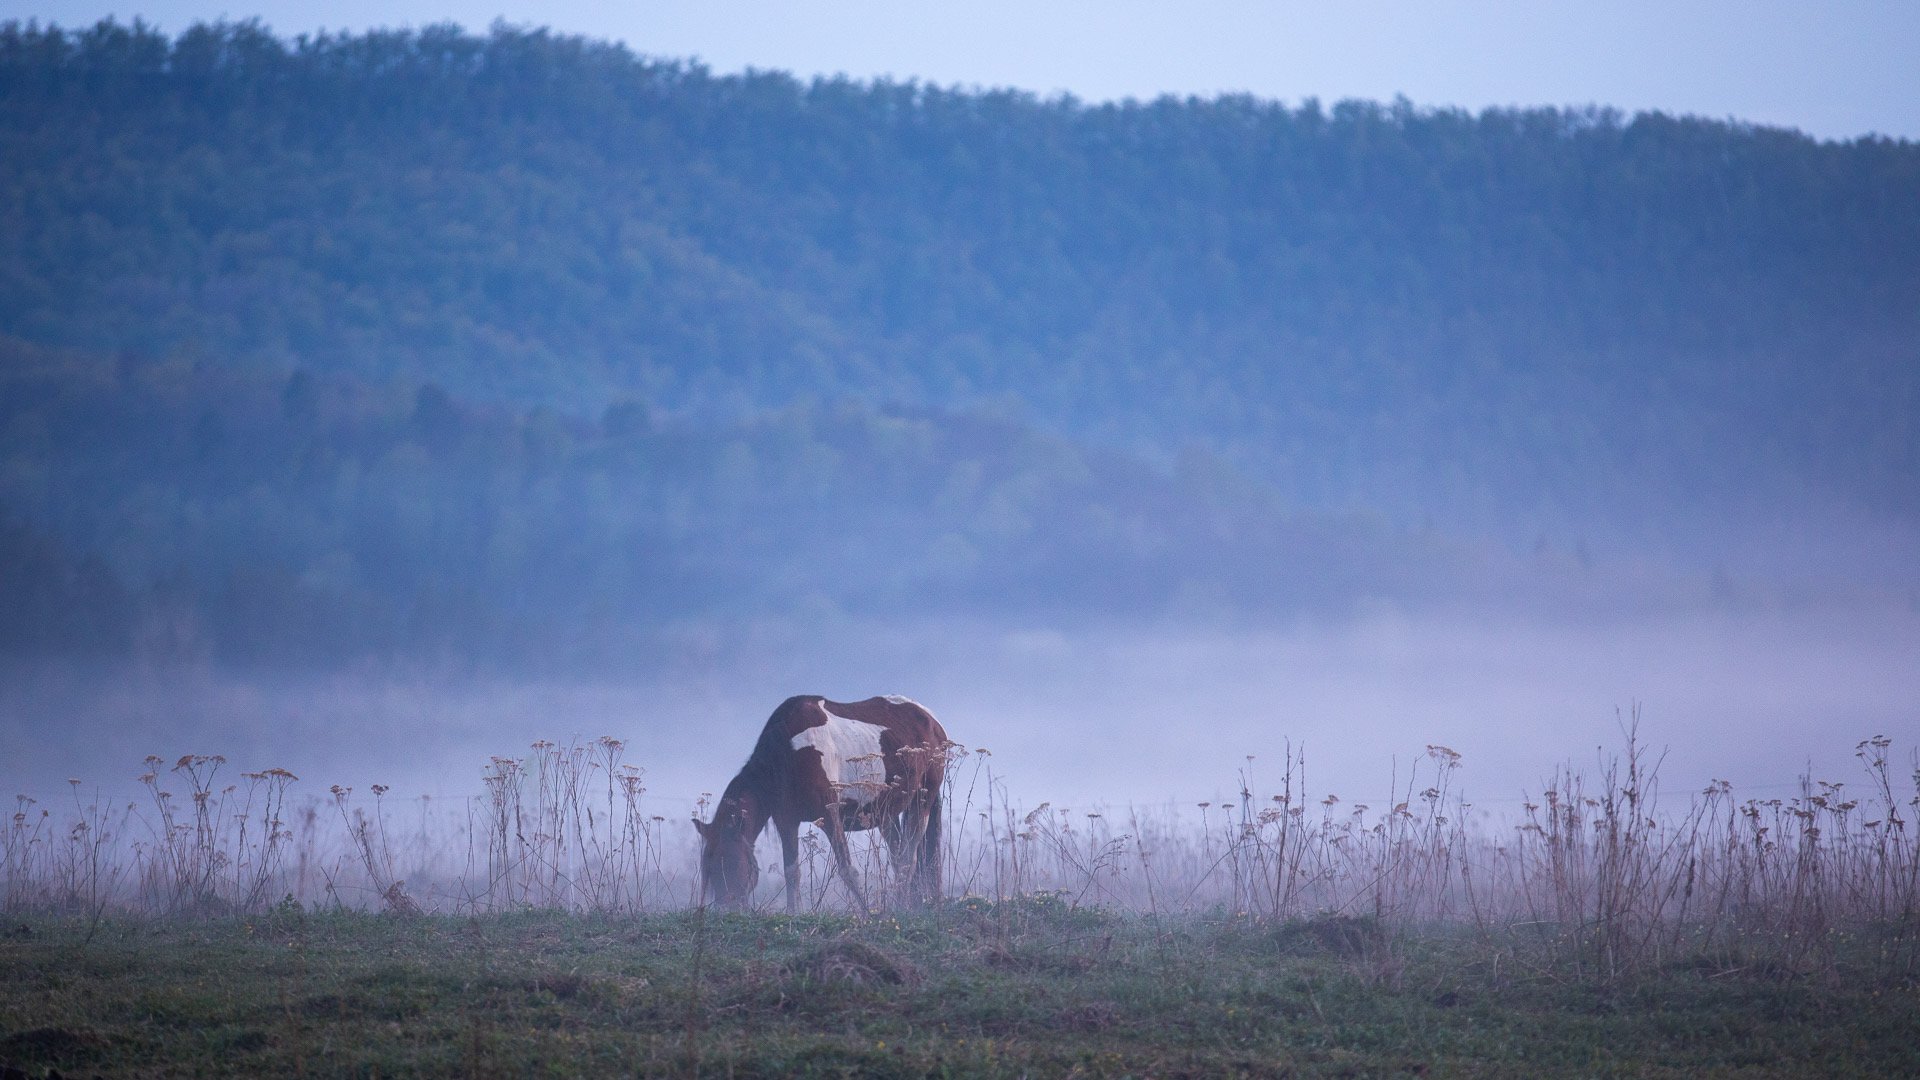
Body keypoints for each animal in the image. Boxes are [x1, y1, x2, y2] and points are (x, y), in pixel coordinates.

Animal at [698, 687, 952, 907]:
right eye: (708, 868)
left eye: (729, 862)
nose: (726, 908)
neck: (788, 753)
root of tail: (932, 721)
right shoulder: (786, 821)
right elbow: (792, 872)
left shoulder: (830, 817)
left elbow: (848, 870)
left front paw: (868, 913)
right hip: (885, 814)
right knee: (899, 859)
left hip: (922, 803)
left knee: (909, 859)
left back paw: (901, 904)